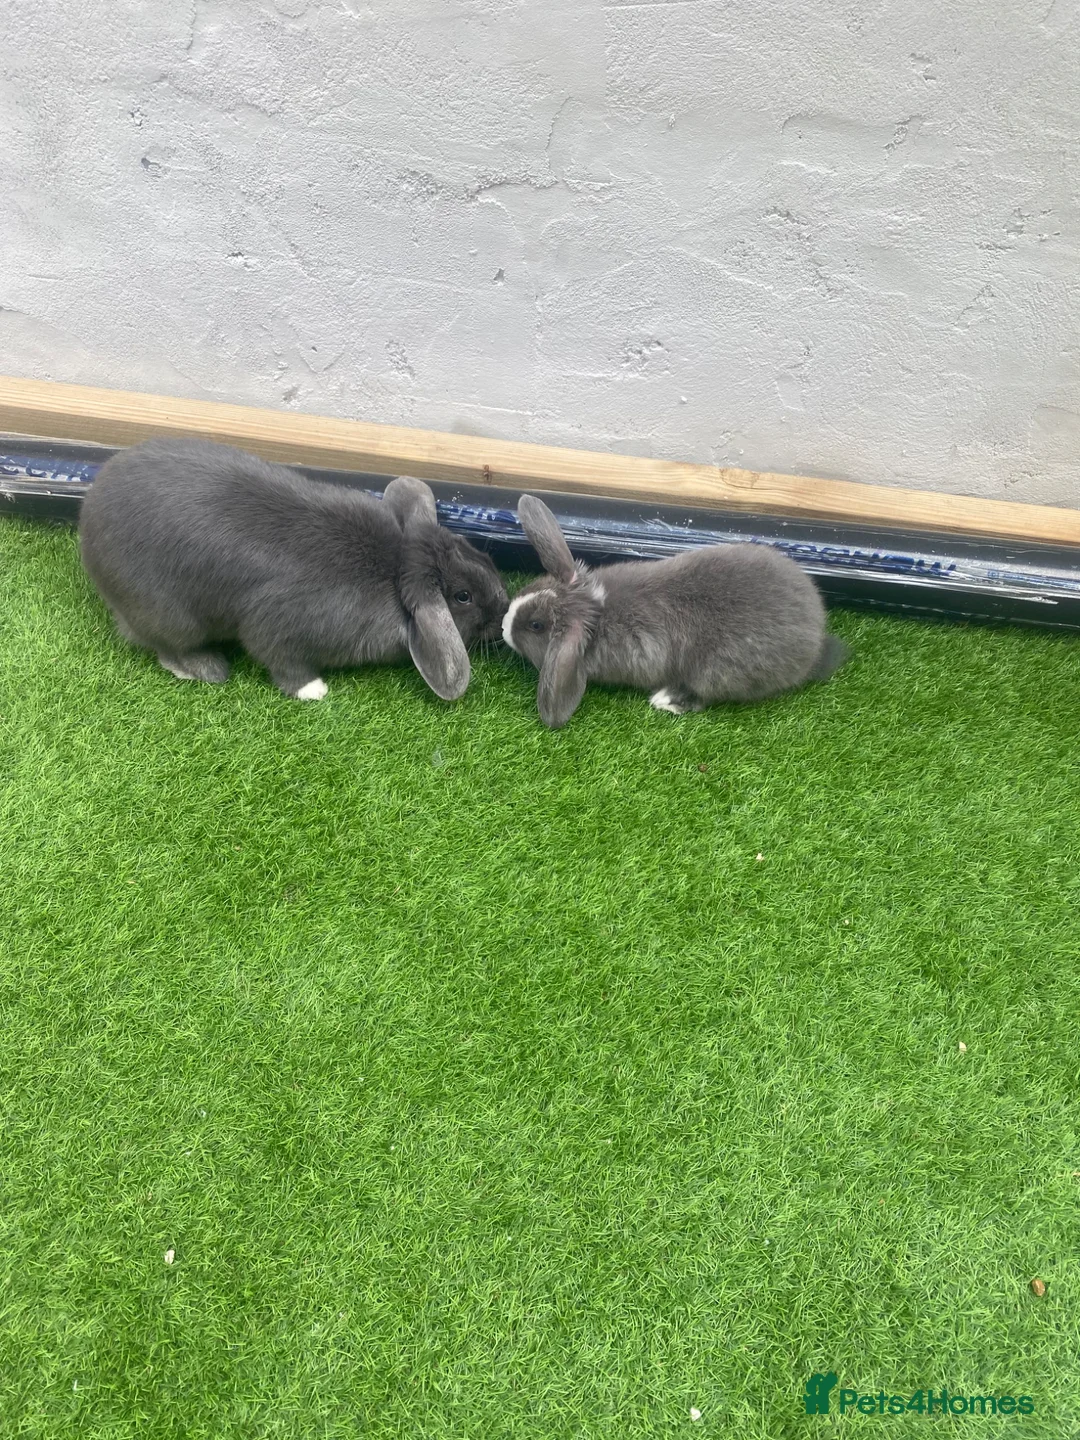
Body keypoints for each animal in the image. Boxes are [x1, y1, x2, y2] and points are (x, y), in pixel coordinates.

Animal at [79, 437, 507, 700]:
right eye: (463, 597)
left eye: (482, 557)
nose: (503, 614)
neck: (397, 570)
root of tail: (88, 522)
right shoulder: (276, 626)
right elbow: (279, 657)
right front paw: (314, 690)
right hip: (174, 620)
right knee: (166, 648)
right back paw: (207, 668)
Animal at [503, 493, 849, 728]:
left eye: (536, 625)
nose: (504, 626)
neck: (594, 609)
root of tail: (815, 643)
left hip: (715, 673)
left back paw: (666, 700)